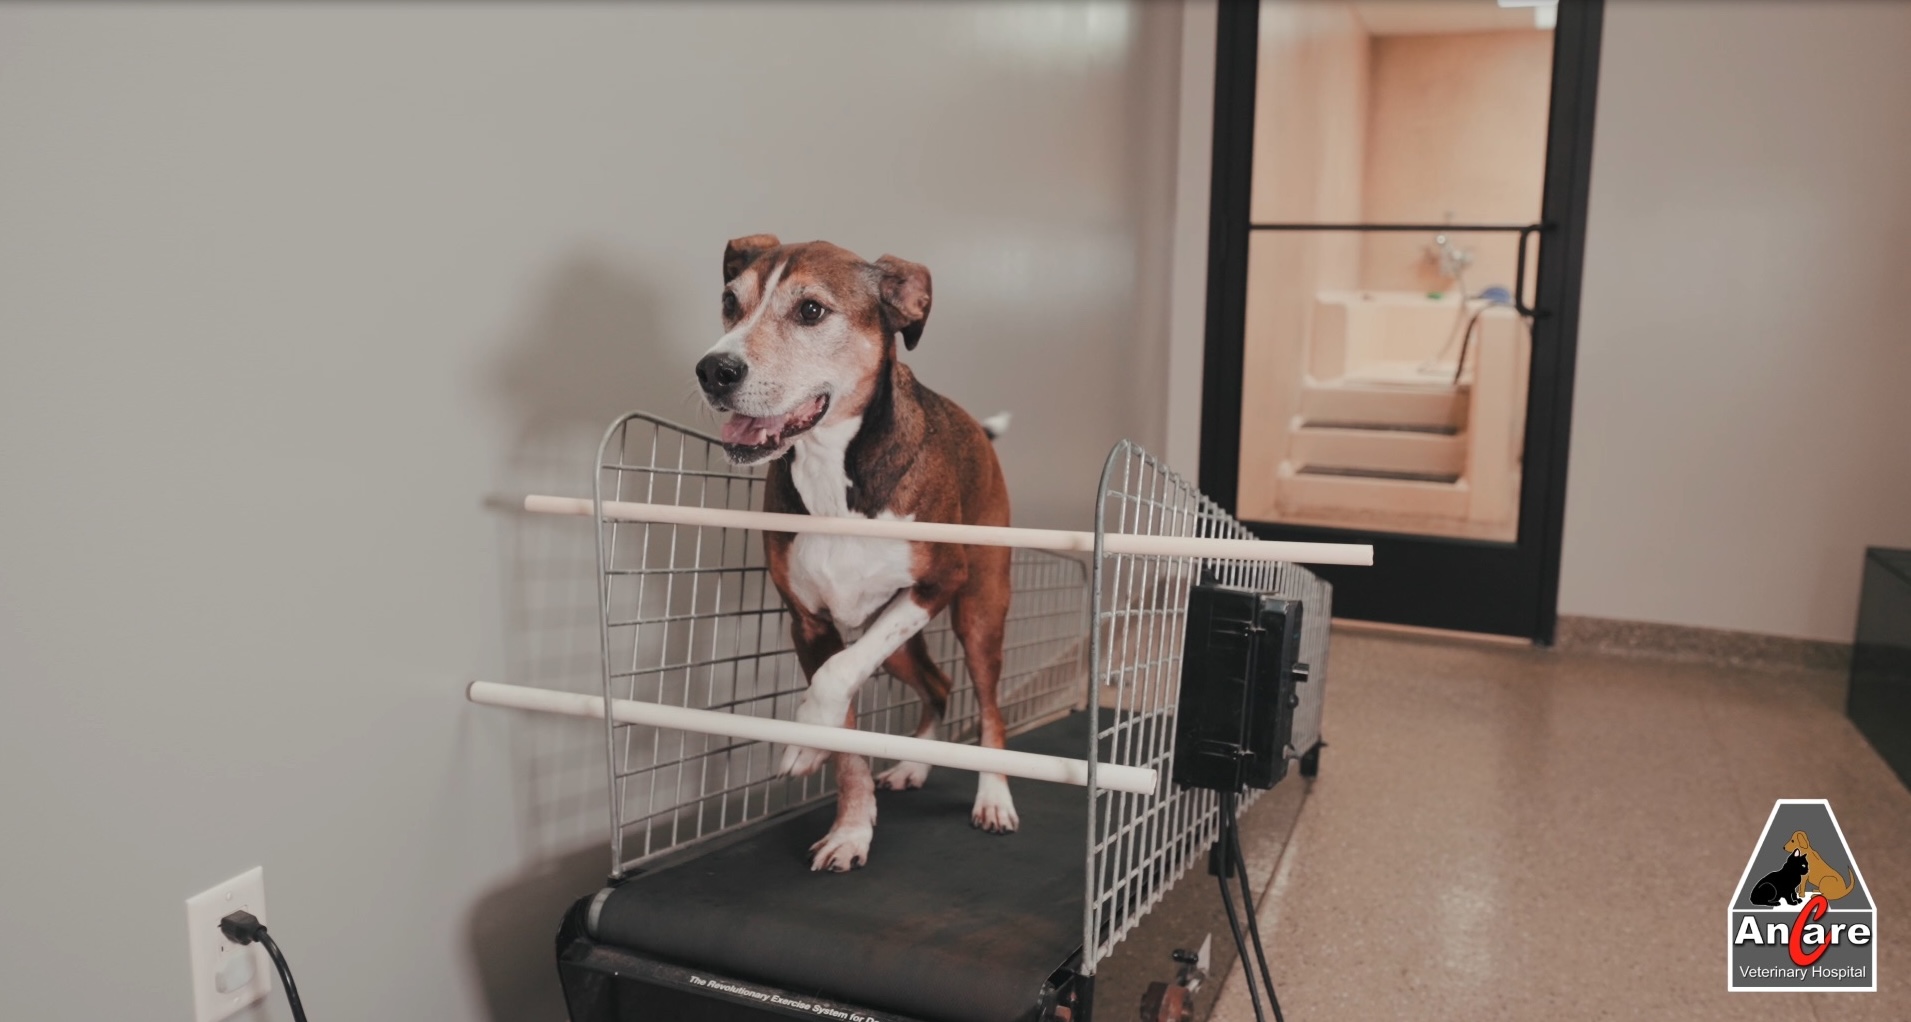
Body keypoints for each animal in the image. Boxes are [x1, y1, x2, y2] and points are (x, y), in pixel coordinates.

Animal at [699, 237, 1024, 871]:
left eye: (811, 311)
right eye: (729, 301)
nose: (713, 370)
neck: (833, 466)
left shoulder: (936, 585)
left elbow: (837, 676)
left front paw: (807, 735)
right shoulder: (809, 623)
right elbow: (845, 731)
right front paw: (851, 829)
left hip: (978, 613)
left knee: (989, 706)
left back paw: (994, 798)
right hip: (897, 646)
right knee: (938, 684)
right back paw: (914, 765)